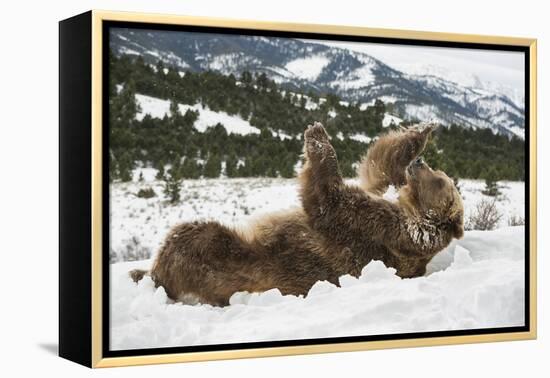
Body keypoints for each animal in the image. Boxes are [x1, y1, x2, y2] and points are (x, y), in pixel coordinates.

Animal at [130, 122, 466, 306]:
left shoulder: (376, 230)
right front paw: (422, 130)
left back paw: (150, 271)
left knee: (192, 237)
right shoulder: (384, 199)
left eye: (440, 181)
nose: (419, 164)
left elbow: (328, 202)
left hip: (230, 259)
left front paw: (318, 135)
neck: (410, 212)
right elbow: (377, 168)